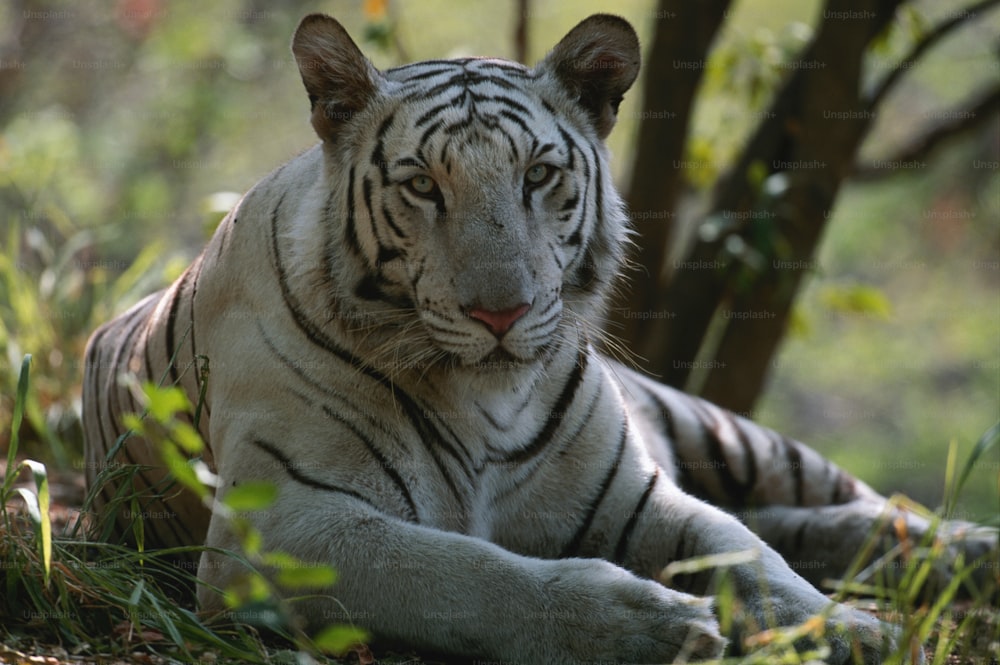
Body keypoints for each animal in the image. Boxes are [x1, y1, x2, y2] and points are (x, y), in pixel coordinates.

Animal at [84, 11, 992, 664]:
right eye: (423, 185)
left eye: (539, 175)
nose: (503, 313)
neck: (487, 398)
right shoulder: (281, 526)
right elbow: (471, 573)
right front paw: (653, 624)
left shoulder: (640, 496)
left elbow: (751, 557)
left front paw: (850, 630)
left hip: (730, 433)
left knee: (861, 507)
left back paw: (970, 553)